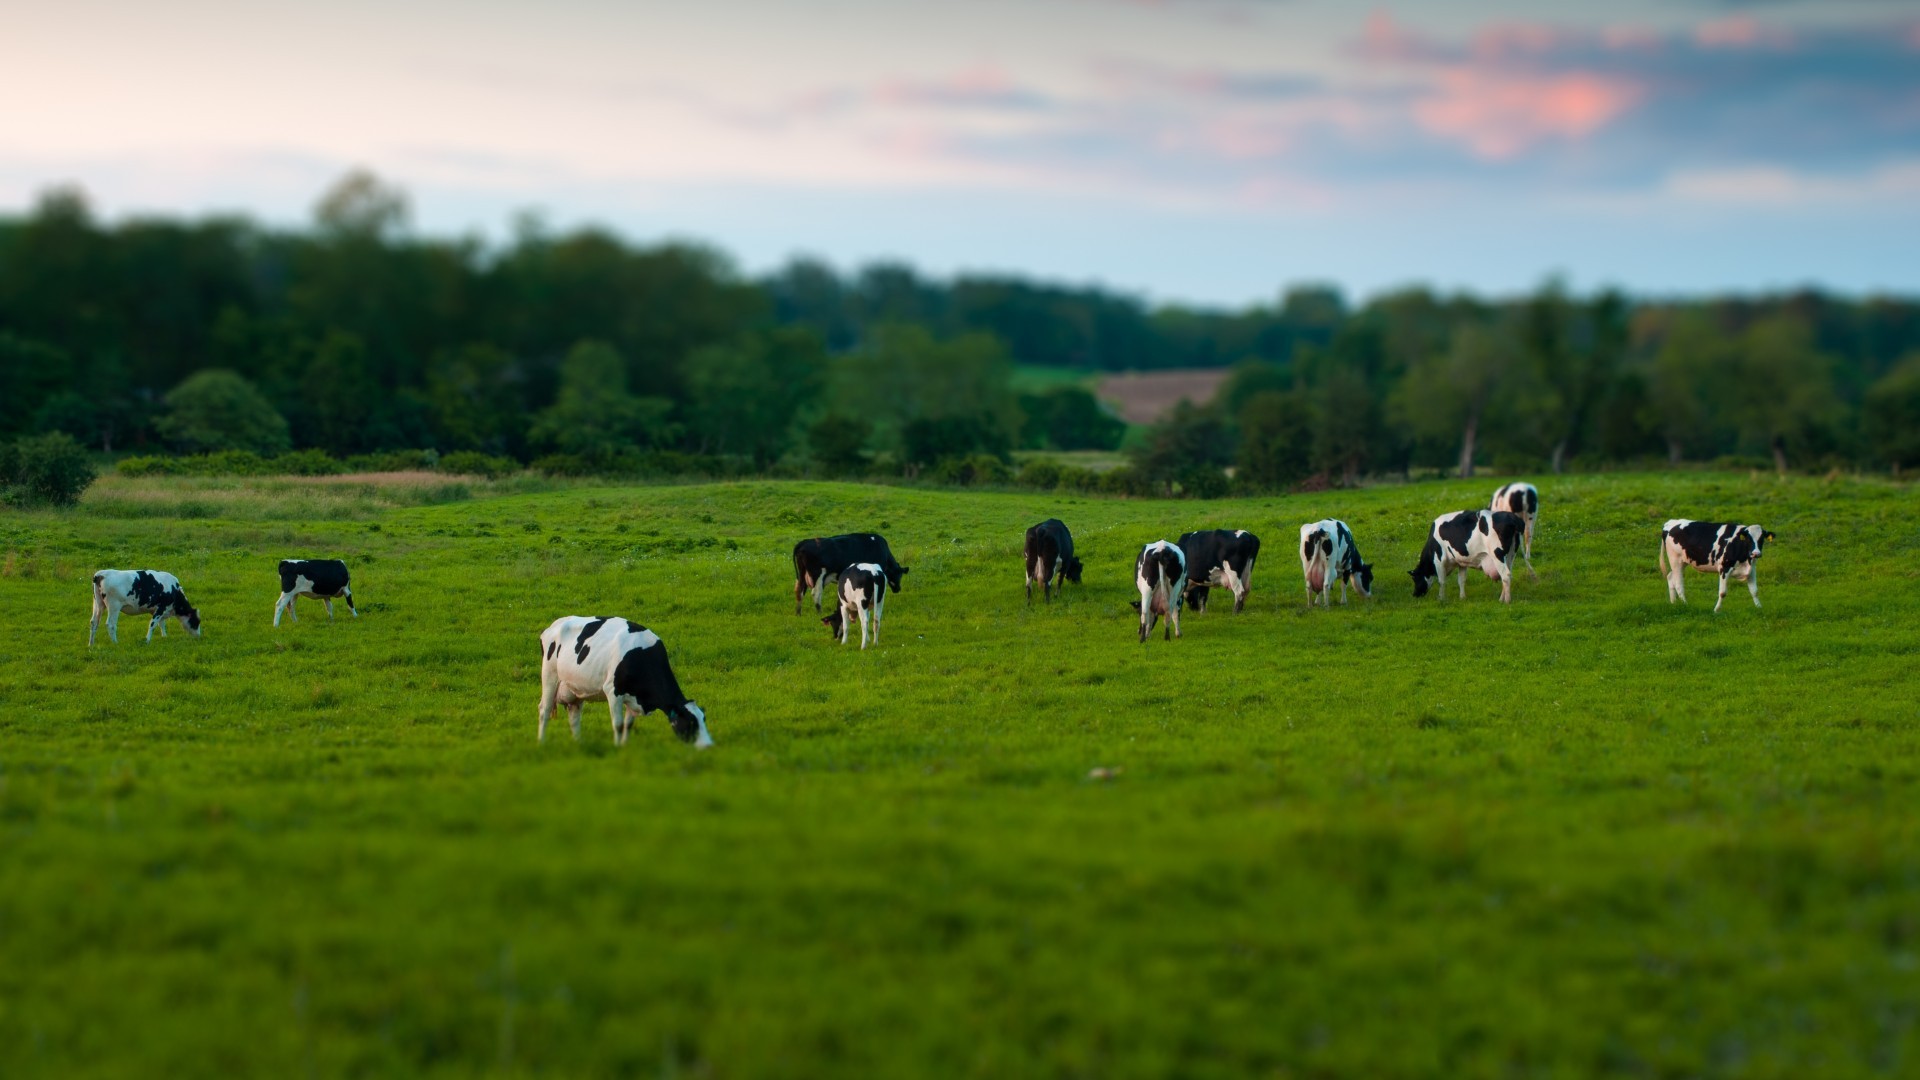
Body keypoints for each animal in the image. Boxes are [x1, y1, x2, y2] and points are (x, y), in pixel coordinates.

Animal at [533, 618, 714, 745]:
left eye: (704, 720)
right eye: (691, 723)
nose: (708, 746)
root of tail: (553, 625)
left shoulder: (632, 696)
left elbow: (628, 724)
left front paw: (625, 747)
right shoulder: (613, 691)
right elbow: (618, 724)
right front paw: (617, 747)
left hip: (576, 689)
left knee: (574, 717)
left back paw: (579, 743)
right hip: (549, 675)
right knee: (544, 710)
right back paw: (541, 742)